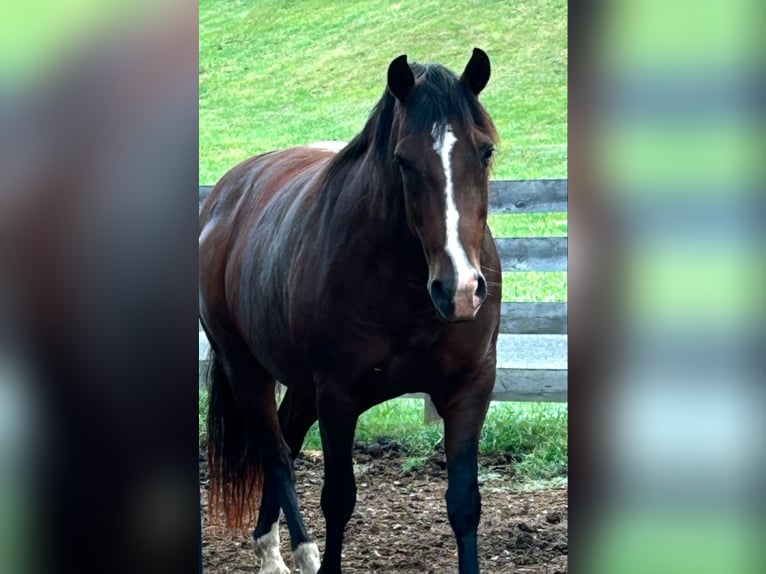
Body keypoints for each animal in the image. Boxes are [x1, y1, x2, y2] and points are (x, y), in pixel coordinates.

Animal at [199, 48, 500, 574]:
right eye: (403, 160)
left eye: (484, 152)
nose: (460, 289)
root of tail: (222, 197)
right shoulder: (338, 396)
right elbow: (338, 499)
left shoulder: (471, 387)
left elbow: (464, 503)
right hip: (245, 368)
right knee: (276, 454)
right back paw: (294, 554)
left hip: (299, 381)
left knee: (288, 438)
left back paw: (269, 544)